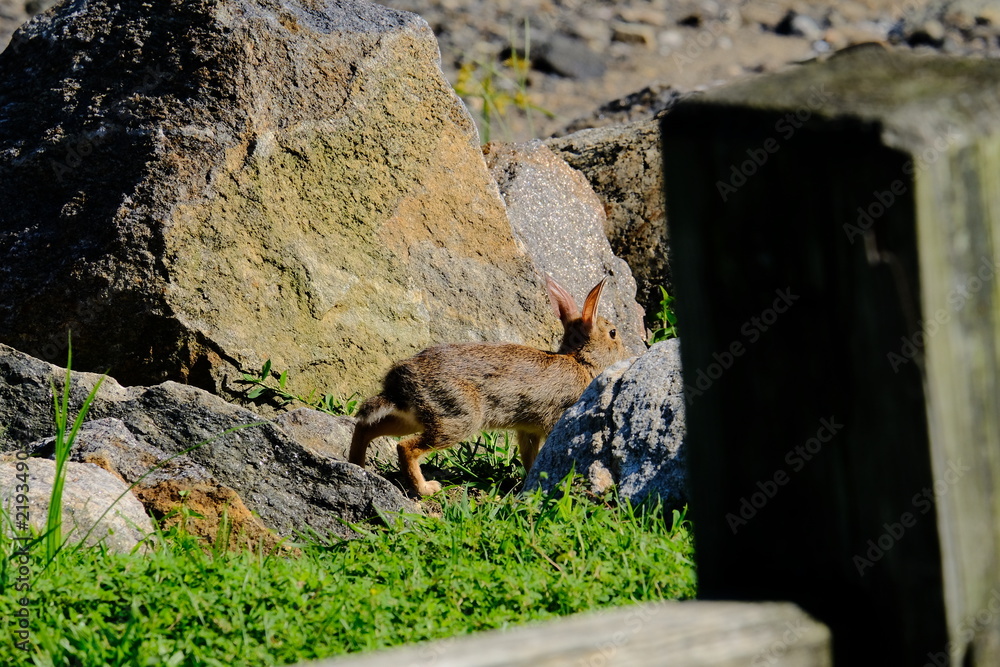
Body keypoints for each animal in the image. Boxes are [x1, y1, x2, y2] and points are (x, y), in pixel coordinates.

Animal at [348, 275, 630, 496]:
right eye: (613, 333)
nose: (626, 350)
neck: (581, 360)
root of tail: (398, 384)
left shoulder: (527, 430)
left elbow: (531, 456)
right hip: (457, 417)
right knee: (405, 447)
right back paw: (426, 489)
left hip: (416, 417)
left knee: (366, 428)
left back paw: (357, 466)